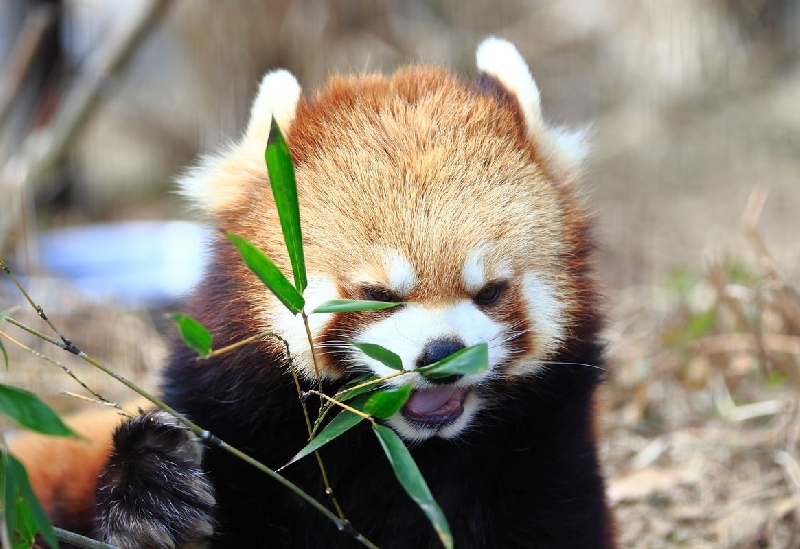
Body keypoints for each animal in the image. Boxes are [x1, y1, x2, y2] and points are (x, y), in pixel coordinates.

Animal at [10, 36, 612, 544]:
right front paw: (151, 490)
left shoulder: (543, 456)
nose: (443, 355)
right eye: (376, 295)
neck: (397, 451)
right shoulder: (237, 434)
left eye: (489, 292)